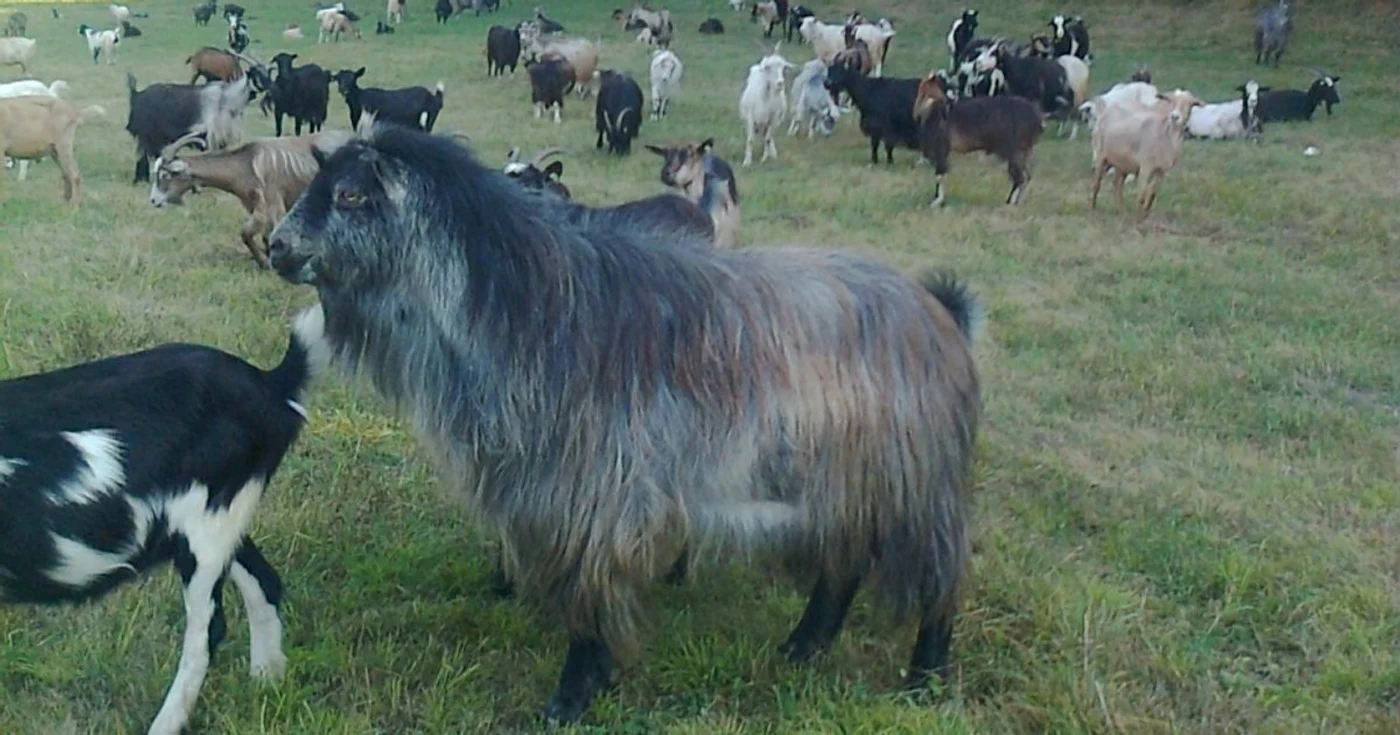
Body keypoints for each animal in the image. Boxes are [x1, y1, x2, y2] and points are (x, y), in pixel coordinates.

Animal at [0, 306, 326, 735]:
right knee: (264, 580)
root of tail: (270, 383)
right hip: (222, 514)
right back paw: (267, 683)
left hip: (207, 527)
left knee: (207, 630)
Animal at [150, 130, 343, 267]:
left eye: (166, 175)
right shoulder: (255, 207)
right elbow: (262, 236)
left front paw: (265, 262)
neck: (245, 165)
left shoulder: (272, 204)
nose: (153, 201)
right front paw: (266, 259)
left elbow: (248, 233)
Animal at [266, 124, 981, 727]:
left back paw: (923, 677)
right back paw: (804, 646)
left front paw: (572, 697)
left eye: (351, 195)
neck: (529, 307)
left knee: (937, 578)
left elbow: (591, 601)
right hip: (846, 478)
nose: (276, 246)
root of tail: (937, 310)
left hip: (916, 480)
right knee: (843, 564)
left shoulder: (597, 497)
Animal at [913, 71, 1044, 208]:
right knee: (1026, 176)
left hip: (1013, 151)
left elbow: (939, 174)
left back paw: (1010, 203)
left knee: (1020, 176)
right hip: (1024, 151)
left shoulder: (941, 148)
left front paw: (936, 201)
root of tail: (1037, 120)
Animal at [1090, 88, 1205, 220]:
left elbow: (1152, 194)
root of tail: (1108, 110)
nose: (1174, 117)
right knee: (1096, 183)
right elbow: (1141, 195)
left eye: (1190, 104)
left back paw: (1120, 211)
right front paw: (1138, 219)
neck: (1165, 135)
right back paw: (1093, 209)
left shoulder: (1162, 171)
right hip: (1100, 155)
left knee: (1117, 185)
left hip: (1121, 164)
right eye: (1171, 101)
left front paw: (1145, 216)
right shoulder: (1145, 166)